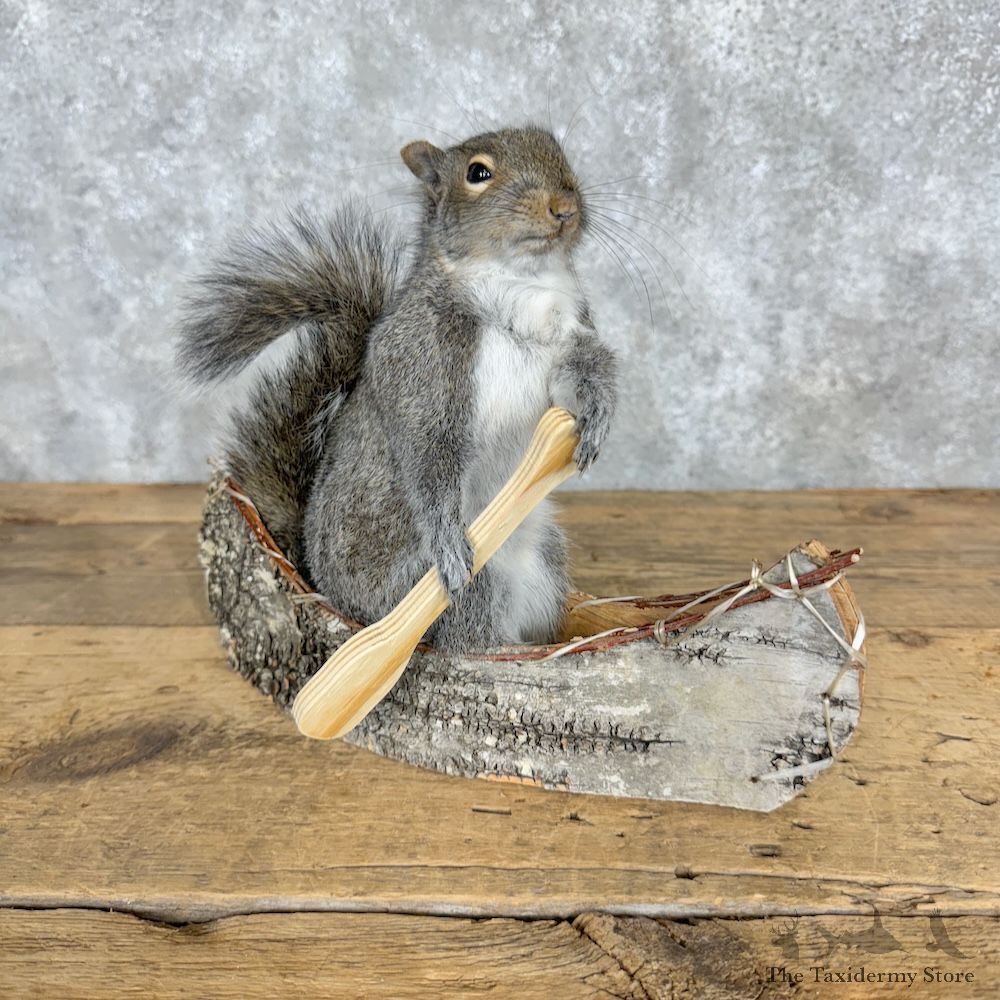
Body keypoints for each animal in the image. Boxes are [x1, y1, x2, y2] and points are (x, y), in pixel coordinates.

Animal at [178, 125, 618, 651]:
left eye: (558, 152)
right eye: (478, 173)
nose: (564, 206)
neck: (520, 282)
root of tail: (330, 593)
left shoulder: (571, 332)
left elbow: (585, 370)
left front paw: (595, 417)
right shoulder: (421, 363)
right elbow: (429, 455)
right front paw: (446, 538)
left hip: (545, 559)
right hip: (440, 586)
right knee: (465, 634)